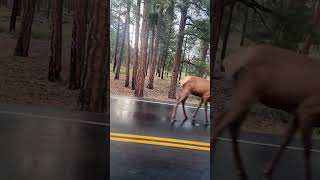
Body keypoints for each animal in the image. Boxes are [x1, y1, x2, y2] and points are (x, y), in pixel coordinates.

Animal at [211, 45, 320, 180]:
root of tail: (229, 61)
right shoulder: (307, 109)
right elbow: (307, 147)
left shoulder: (297, 113)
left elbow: (286, 139)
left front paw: (268, 171)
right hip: (247, 91)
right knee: (222, 124)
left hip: (244, 95)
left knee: (230, 124)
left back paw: (242, 172)